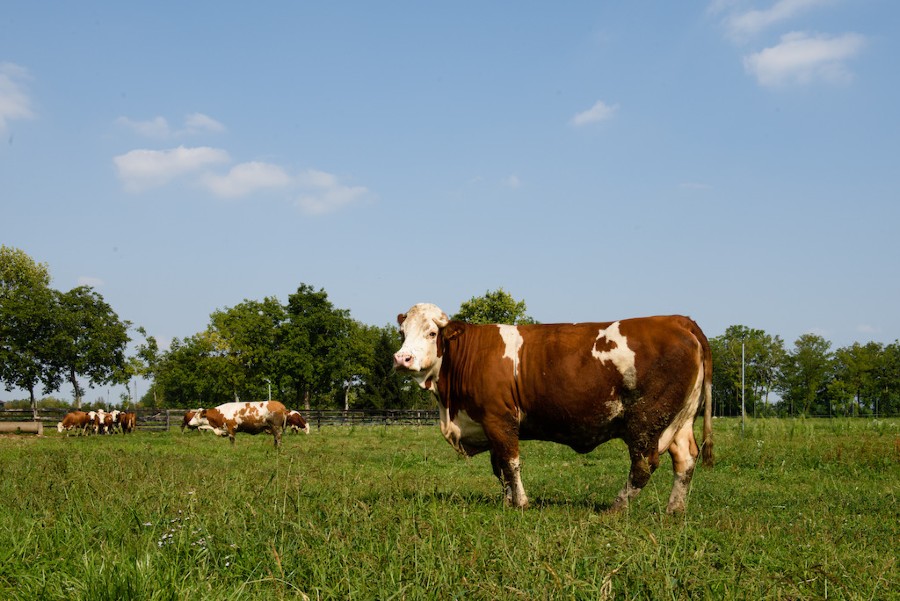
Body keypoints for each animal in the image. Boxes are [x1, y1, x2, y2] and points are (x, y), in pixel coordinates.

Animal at [394, 302, 716, 512]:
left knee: (644, 464)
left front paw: (521, 503)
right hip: (680, 419)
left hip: (647, 419)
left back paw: (616, 507)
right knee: (686, 458)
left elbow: (510, 462)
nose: (402, 358)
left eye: (432, 333)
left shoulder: (499, 418)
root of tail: (677, 320)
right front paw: (507, 501)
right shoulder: (490, 423)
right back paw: (674, 510)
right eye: (402, 333)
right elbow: (499, 466)